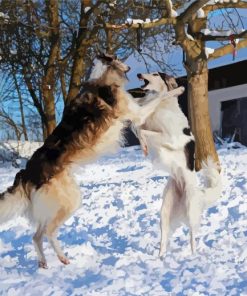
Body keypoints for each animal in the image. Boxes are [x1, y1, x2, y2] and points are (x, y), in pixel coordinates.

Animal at [133, 71, 222, 256]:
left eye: (154, 74)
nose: (138, 74)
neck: (163, 105)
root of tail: (199, 192)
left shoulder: (169, 137)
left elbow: (143, 131)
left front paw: (144, 145)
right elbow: (139, 129)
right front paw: (143, 145)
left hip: (190, 210)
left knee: (192, 236)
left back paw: (193, 256)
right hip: (164, 213)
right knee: (164, 240)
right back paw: (160, 258)